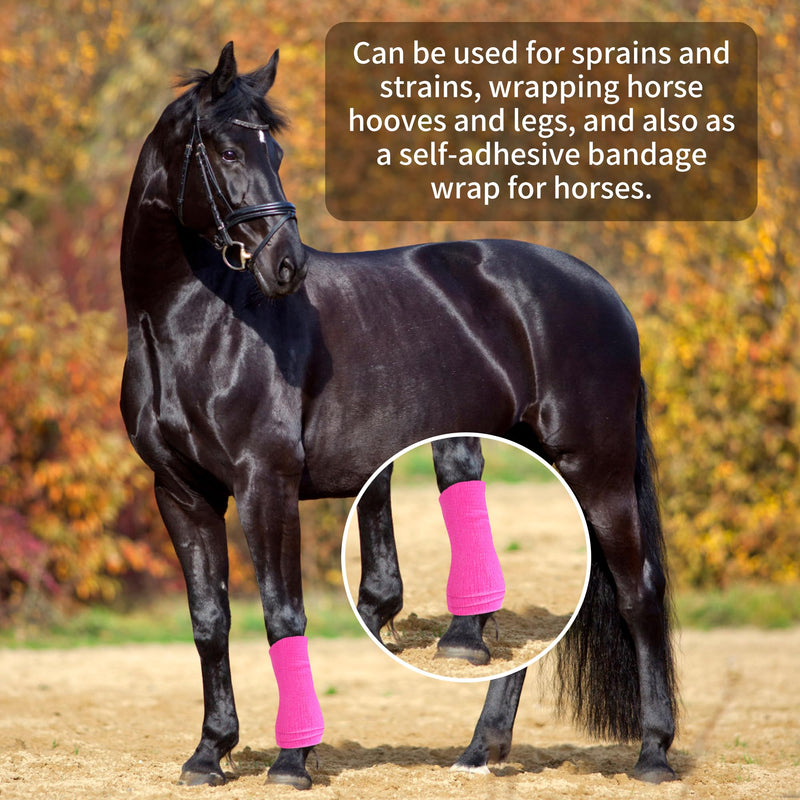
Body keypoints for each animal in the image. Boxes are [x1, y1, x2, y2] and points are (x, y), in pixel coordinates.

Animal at [120, 42, 678, 790]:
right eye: (228, 151)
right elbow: (210, 621)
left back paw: (653, 753)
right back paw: (480, 750)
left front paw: (291, 763)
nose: (286, 265)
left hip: (597, 467)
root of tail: (604, 294)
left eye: (275, 152)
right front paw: (210, 753)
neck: (194, 325)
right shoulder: (182, 492)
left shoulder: (266, 485)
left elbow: (281, 614)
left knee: (638, 591)